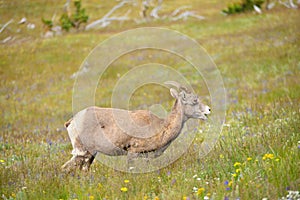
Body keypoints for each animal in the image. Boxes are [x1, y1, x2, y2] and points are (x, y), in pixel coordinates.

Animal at [61, 81, 211, 172]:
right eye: (194, 100)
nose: (208, 110)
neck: (160, 126)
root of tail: (72, 121)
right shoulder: (132, 154)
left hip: (90, 155)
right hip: (82, 152)